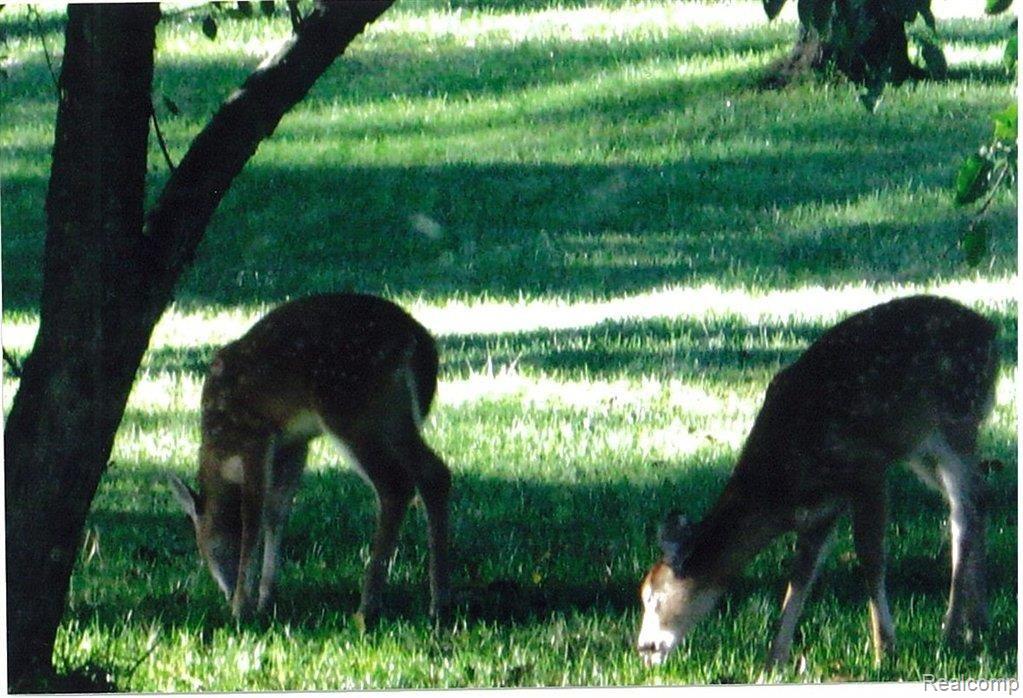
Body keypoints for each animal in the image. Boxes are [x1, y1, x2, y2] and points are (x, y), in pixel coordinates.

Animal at [167, 293, 452, 623]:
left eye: (204, 545)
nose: (225, 592)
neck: (217, 445)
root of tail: (419, 344)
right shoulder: (293, 444)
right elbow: (276, 513)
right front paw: (265, 599)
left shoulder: (255, 436)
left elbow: (252, 516)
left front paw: (242, 607)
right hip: (393, 415)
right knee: (435, 473)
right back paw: (438, 603)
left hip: (349, 406)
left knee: (395, 484)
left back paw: (366, 609)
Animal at [636, 295, 1000, 669]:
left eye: (652, 598)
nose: (644, 648)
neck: (780, 486)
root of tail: (991, 331)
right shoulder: (820, 511)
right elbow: (800, 578)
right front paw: (774, 662)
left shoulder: (869, 468)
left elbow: (871, 558)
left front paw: (884, 650)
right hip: (921, 448)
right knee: (979, 497)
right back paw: (978, 623)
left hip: (956, 419)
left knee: (964, 510)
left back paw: (952, 629)